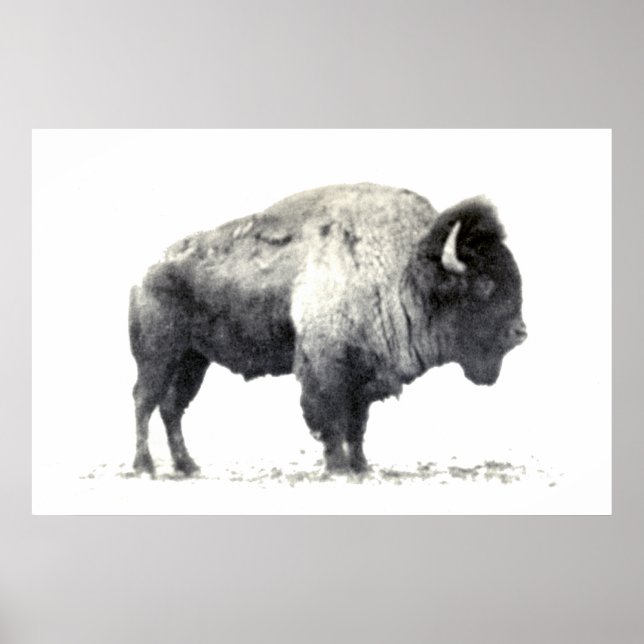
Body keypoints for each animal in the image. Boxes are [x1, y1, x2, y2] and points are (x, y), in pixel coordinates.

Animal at [129, 183, 526, 475]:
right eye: (484, 284)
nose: (520, 332)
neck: (404, 272)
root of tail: (147, 273)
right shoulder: (326, 369)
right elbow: (330, 420)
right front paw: (338, 468)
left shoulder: (363, 377)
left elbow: (357, 425)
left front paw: (361, 467)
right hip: (159, 356)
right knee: (145, 401)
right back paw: (145, 466)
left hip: (193, 361)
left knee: (172, 408)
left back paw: (187, 465)